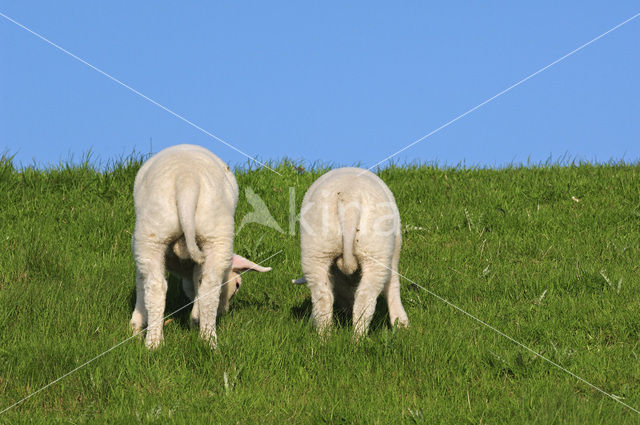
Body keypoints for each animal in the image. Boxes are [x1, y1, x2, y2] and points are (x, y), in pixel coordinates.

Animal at [129, 143, 272, 348]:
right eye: (237, 285)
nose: (225, 310)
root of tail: (186, 180)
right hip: (210, 233)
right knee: (205, 287)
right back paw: (203, 340)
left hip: (155, 234)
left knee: (158, 287)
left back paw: (158, 342)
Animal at [300, 167, 410, 336]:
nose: (346, 309)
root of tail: (349, 196)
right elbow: (393, 284)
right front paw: (401, 323)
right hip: (375, 251)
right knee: (365, 297)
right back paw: (358, 337)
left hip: (317, 249)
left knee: (323, 296)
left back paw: (324, 336)